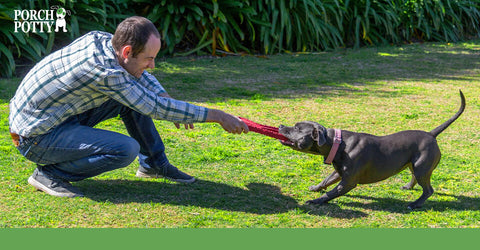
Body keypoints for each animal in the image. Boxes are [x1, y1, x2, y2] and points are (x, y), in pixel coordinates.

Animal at [278, 90, 464, 209]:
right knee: (416, 178)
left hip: (421, 167)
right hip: (415, 164)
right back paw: (409, 187)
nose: (280, 125)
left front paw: (316, 201)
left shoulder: (348, 181)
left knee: (428, 190)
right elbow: (326, 181)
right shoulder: (338, 172)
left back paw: (415, 204)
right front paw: (316, 188)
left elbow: (331, 192)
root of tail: (431, 134)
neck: (337, 144)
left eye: (297, 128)